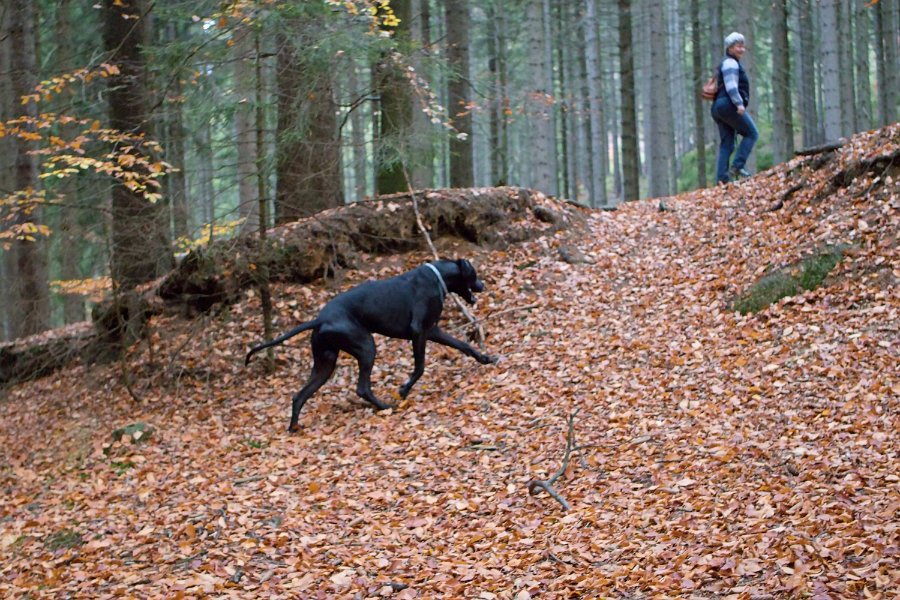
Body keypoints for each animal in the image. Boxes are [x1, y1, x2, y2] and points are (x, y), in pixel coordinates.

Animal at [244, 258, 500, 432]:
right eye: (474, 274)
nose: (483, 285)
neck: (438, 276)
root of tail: (320, 319)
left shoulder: (432, 330)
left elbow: (464, 346)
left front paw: (486, 358)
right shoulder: (419, 332)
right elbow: (420, 367)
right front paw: (403, 390)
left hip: (325, 363)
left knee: (299, 396)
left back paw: (294, 427)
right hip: (367, 346)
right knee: (362, 388)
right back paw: (385, 406)